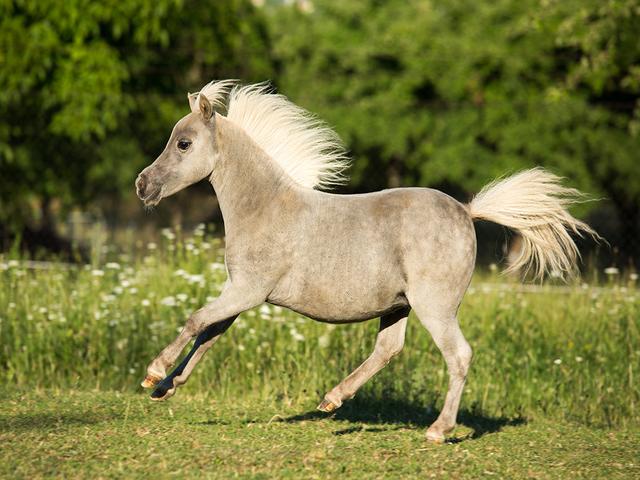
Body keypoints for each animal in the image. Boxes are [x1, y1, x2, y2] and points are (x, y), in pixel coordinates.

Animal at [135, 80, 596, 442]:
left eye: (184, 143)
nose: (143, 185)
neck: (264, 207)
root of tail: (467, 211)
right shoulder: (240, 293)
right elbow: (208, 335)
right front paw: (167, 388)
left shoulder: (247, 291)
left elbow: (196, 321)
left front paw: (153, 373)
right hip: (398, 306)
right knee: (388, 349)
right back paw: (332, 399)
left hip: (434, 306)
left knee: (458, 355)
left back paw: (437, 430)